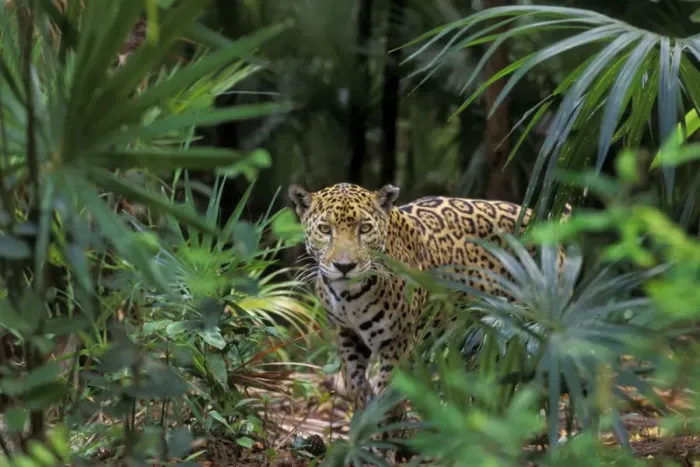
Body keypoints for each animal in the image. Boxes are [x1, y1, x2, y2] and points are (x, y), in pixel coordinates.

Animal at [288, 182, 570, 424]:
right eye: (325, 229)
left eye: (365, 229)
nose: (344, 266)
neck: (349, 296)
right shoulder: (345, 333)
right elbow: (355, 384)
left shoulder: (399, 341)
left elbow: (388, 395)